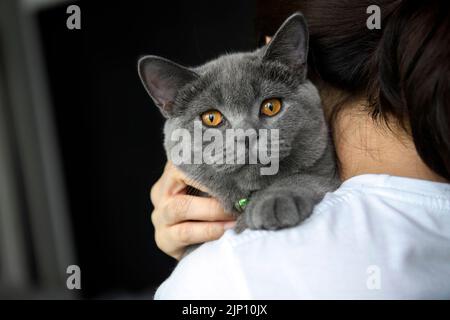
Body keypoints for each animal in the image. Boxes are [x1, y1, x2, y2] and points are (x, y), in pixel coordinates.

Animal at [137, 13, 338, 232]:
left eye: (271, 106)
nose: (247, 135)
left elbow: (303, 178)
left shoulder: (327, 174)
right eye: (211, 118)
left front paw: (273, 201)